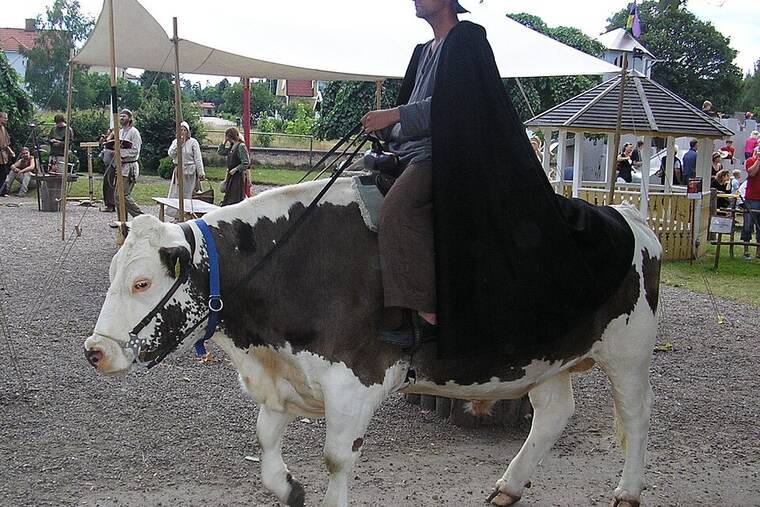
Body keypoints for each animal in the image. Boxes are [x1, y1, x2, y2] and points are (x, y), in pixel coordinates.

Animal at [84, 177, 662, 507]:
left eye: (142, 283)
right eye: (112, 273)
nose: (96, 350)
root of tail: (629, 216)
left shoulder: (354, 380)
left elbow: (337, 459)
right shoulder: (290, 376)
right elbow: (265, 437)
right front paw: (288, 487)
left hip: (629, 352)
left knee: (636, 417)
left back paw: (628, 492)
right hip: (546, 359)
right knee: (553, 413)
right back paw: (508, 487)